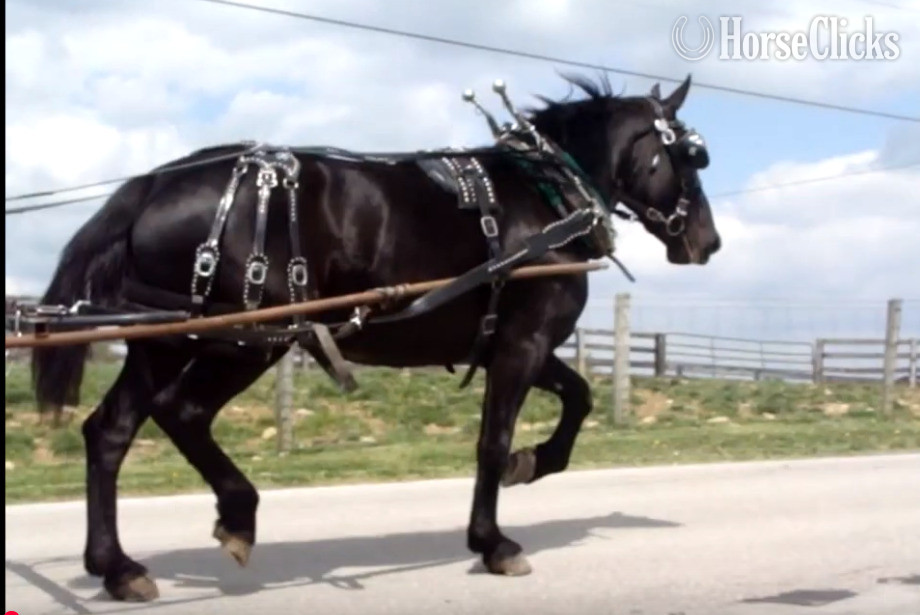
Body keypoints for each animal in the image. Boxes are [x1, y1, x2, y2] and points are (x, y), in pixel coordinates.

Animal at [30, 73, 721, 601]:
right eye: (691, 156)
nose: (708, 241)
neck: (549, 196)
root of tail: (157, 182)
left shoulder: (516, 344)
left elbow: (577, 398)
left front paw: (534, 463)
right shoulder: (523, 344)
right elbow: (492, 442)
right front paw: (493, 541)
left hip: (167, 341)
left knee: (112, 431)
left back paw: (117, 567)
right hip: (242, 340)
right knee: (182, 412)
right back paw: (236, 516)